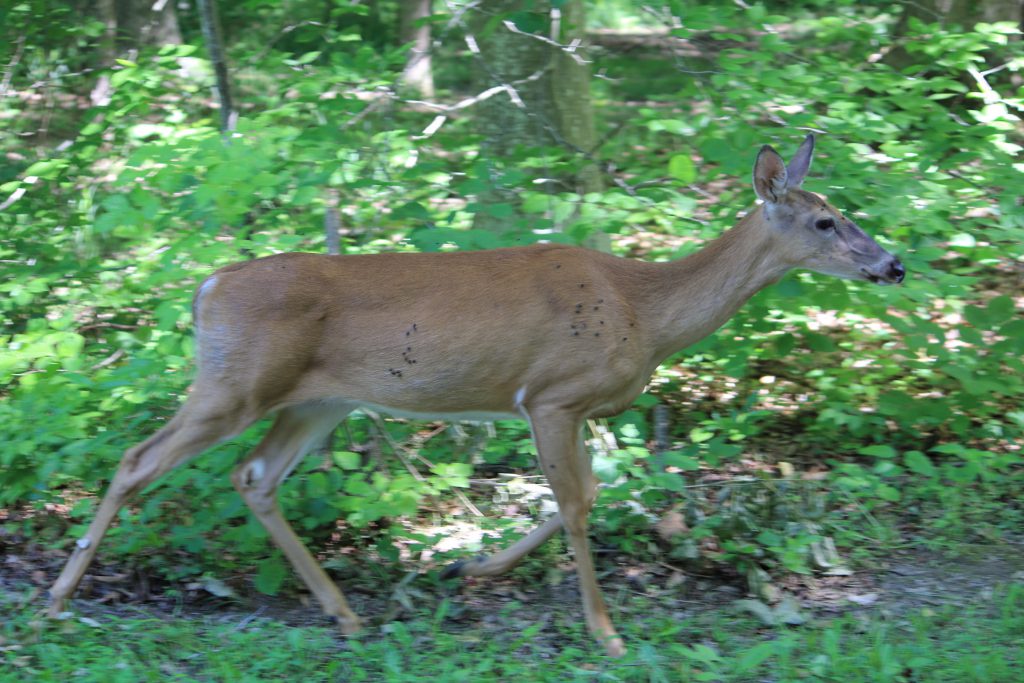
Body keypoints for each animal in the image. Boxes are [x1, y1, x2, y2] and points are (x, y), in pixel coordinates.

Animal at [47, 133, 904, 656]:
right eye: (826, 221)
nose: (893, 263)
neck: (645, 309)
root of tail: (208, 286)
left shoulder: (571, 408)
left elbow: (586, 494)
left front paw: (477, 567)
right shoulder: (552, 395)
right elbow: (579, 502)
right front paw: (605, 631)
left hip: (318, 402)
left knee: (254, 477)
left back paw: (344, 611)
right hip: (234, 382)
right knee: (137, 459)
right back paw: (57, 599)